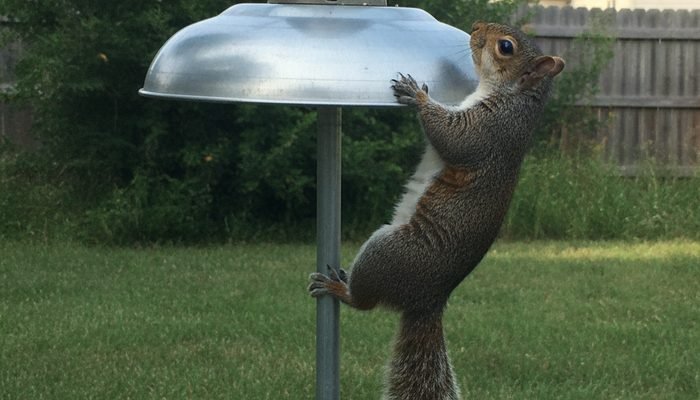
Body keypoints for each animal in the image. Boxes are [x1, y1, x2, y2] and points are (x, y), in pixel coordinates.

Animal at [309, 21, 565, 400]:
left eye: (505, 47)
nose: (476, 27)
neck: (512, 98)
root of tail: (429, 300)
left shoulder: (486, 132)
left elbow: (450, 137)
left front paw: (416, 94)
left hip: (386, 251)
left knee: (365, 302)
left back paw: (339, 289)